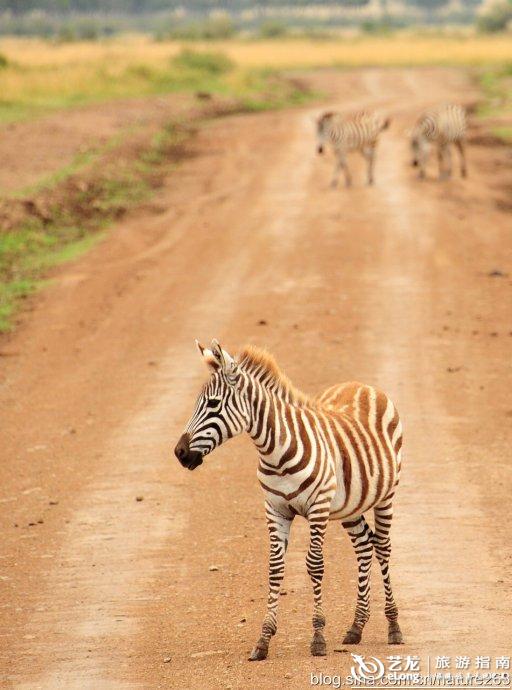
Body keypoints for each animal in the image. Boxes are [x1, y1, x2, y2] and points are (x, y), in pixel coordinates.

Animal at [175, 342, 404, 660]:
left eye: (213, 404)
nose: (180, 453)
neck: (274, 451)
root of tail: (361, 384)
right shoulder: (275, 509)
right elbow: (275, 568)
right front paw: (263, 639)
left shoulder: (318, 506)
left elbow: (315, 565)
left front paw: (318, 637)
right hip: (349, 504)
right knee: (363, 546)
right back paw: (356, 627)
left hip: (386, 493)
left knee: (382, 546)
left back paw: (393, 626)